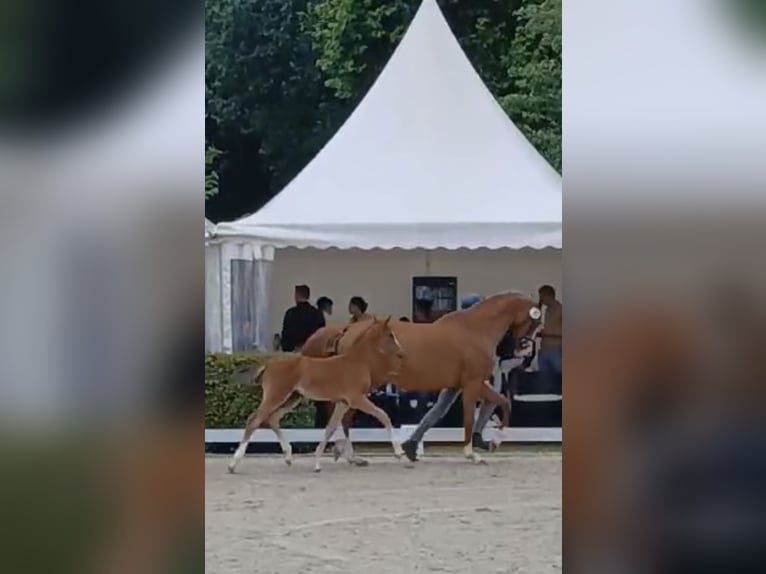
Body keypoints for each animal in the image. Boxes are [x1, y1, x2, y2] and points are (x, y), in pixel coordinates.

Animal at [228, 318, 404, 474]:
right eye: (390, 334)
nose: (401, 352)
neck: (357, 361)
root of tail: (268, 364)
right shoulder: (357, 399)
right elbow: (383, 416)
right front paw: (399, 452)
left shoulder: (343, 403)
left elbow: (330, 428)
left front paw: (317, 464)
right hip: (276, 395)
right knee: (254, 420)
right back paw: (233, 464)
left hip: (292, 398)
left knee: (272, 419)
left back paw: (288, 456)